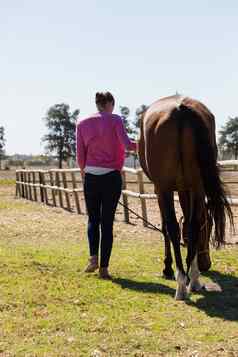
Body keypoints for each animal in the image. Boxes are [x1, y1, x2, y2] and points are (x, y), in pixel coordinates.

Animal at [139, 94, 233, 298]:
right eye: (209, 227)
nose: (207, 265)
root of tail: (181, 109)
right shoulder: (187, 189)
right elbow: (190, 227)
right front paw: (194, 275)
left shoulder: (160, 189)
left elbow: (166, 227)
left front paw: (168, 268)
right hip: (197, 185)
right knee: (193, 225)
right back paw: (192, 279)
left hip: (165, 188)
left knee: (173, 227)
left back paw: (182, 282)